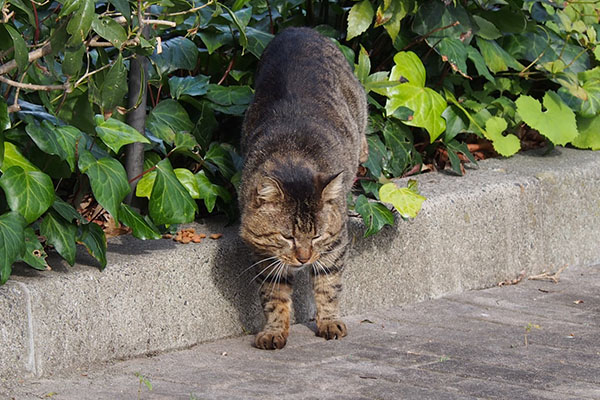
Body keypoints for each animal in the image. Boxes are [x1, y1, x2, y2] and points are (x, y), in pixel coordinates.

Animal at [238, 27, 368, 350]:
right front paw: (274, 330)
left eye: (317, 235)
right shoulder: (263, 254)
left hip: (359, 102)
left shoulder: (335, 244)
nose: (304, 258)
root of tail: (297, 30)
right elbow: (274, 297)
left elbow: (328, 287)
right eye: (288, 237)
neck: (292, 155)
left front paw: (329, 321)